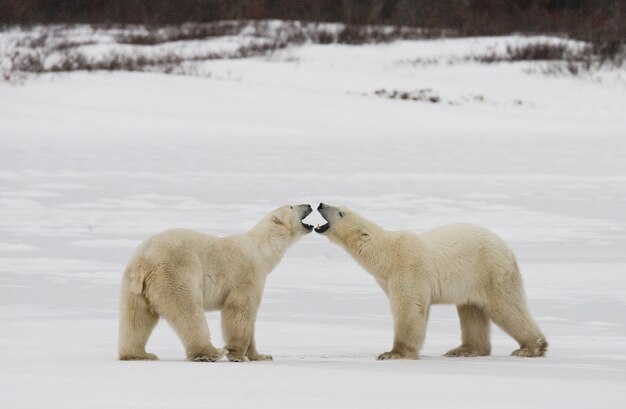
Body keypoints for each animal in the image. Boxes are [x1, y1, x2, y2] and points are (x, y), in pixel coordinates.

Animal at [117, 203, 312, 360]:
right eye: (292, 206)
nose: (309, 204)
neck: (261, 250)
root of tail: (142, 262)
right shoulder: (247, 274)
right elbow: (240, 310)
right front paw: (237, 354)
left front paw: (261, 356)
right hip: (176, 273)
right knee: (188, 312)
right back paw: (212, 352)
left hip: (134, 287)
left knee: (136, 318)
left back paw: (138, 354)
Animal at [314, 202, 544, 358]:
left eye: (341, 212)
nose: (321, 204)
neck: (387, 254)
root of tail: (507, 247)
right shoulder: (387, 279)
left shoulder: (408, 270)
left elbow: (409, 309)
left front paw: (393, 353)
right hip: (471, 281)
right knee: (471, 310)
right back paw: (463, 349)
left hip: (491, 271)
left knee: (506, 307)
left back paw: (532, 347)